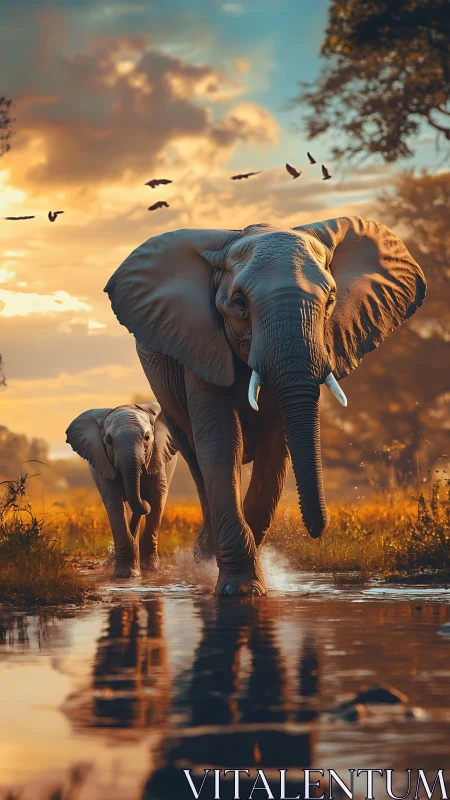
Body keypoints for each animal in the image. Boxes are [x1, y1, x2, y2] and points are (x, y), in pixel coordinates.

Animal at [66, 402, 178, 577]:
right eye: (109, 440)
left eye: (147, 438)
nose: (143, 499)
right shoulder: (105, 465)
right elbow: (115, 504)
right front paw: (127, 575)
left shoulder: (156, 457)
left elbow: (157, 500)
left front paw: (150, 570)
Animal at [104, 216, 426, 595]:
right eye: (239, 303)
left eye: (331, 300)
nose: (318, 529)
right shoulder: (200, 343)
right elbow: (221, 442)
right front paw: (239, 590)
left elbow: (276, 447)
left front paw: (243, 581)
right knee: (197, 461)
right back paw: (204, 557)